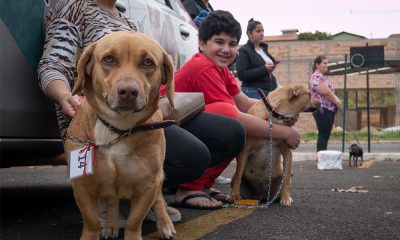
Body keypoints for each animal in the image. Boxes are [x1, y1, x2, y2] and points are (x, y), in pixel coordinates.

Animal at [64, 31, 175, 240]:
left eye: (148, 62)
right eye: (109, 59)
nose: (128, 92)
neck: (117, 129)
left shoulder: (148, 185)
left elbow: (134, 222)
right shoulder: (82, 186)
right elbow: (91, 221)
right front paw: (101, 228)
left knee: (158, 200)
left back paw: (165, 224)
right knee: (112, 201)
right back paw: (111, 224)